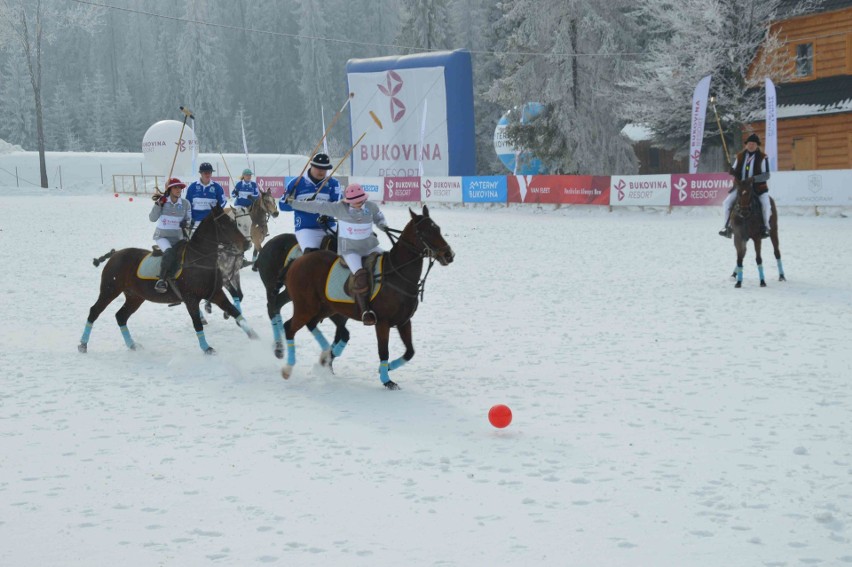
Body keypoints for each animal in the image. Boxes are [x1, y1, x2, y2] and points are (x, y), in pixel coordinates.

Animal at [80, 204, 256, 356]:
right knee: (94, 311)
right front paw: (207, 348)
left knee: (121, 316)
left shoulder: (215, 293)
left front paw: (254, 336)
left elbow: (234, 312)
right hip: (110, 290)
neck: (199, 258)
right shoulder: (190, 298)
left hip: (134, 296)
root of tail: (115, 254)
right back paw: (83, 344)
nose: (247, 244)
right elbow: (197, 323)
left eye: (234, 222)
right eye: (226, 225)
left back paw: (132, 344)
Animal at [280, 205, 452, 390]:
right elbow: (383, 351)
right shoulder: (382, 322)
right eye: (425, 232)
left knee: (310, 324)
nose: (449, 255)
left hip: (325, 307)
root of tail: (296, 261)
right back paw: (288, 368)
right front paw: (387, 380)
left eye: (438, 228)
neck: (397, 274)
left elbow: (410, 352)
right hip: (305, 306)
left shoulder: (404, 321)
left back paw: (325, 356)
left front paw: (387, 368)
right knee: (289, 327)